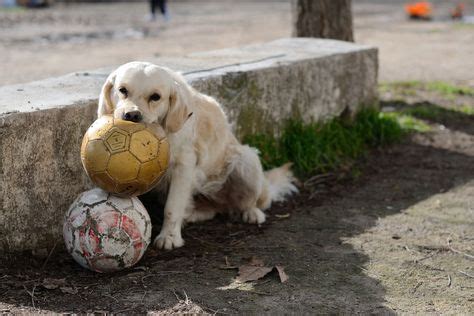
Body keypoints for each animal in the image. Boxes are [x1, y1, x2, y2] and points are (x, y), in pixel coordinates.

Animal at [96, 61, 296, 249]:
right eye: (122, 90)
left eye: (155, 97)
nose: (132, 115)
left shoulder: (184, 165)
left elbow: (172, 207)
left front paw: (169, 237)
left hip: (247, 162)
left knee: (252, 202)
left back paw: (252, 213)